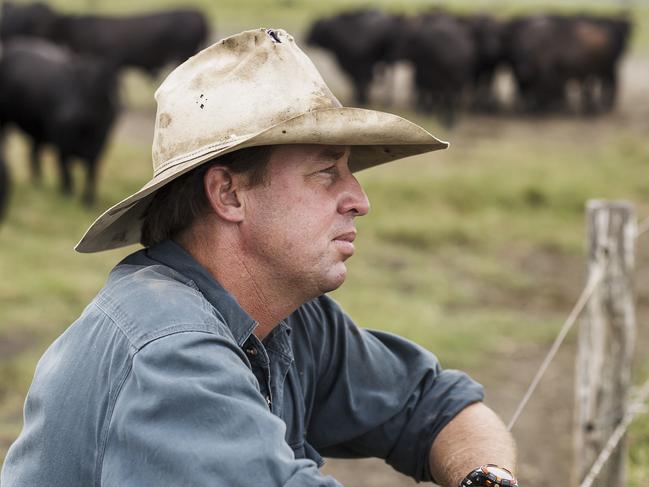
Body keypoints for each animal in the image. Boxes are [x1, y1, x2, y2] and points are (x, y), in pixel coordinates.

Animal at [0, 38, 119, 204]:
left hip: (38, 131)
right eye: (71, 83)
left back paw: (37, 182)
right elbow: (65, 171)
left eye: (93, 89)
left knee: (34, 152)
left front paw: (88, 200)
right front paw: (66, 194)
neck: (86, 132)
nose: (64, 115)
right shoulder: (62, 145)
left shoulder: (99, 147)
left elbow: (91, 174)